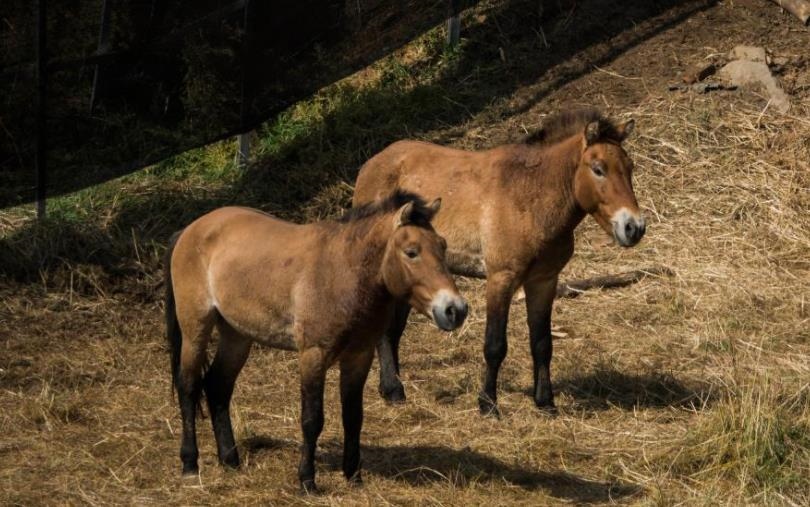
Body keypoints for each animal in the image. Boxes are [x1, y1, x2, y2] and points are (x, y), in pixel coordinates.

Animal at [164, 192, 468, 492]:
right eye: (411, 252)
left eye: (442, 246)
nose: (455, 309)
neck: (342, 272)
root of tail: (190, 230)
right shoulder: (313, 355)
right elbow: (312, 419)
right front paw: (307, 480)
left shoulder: (359, 356)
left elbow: (353, 417)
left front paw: (353, 476)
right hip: (195, 330)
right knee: (188, 387)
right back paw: (190, 464)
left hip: (236, 336)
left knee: (218, 387)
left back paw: (230, 460)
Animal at [352, 108, 645, 416]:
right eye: (598, 169)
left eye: (630, 167)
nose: (634, 227)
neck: (530, 196)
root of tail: (369, 165)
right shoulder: (501, 278)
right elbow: (495, 345)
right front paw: (488, 404)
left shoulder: (543, 281)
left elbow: (542, 343)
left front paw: (545, 402)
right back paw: (394, 390)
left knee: (392, 332)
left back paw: (392, 389)